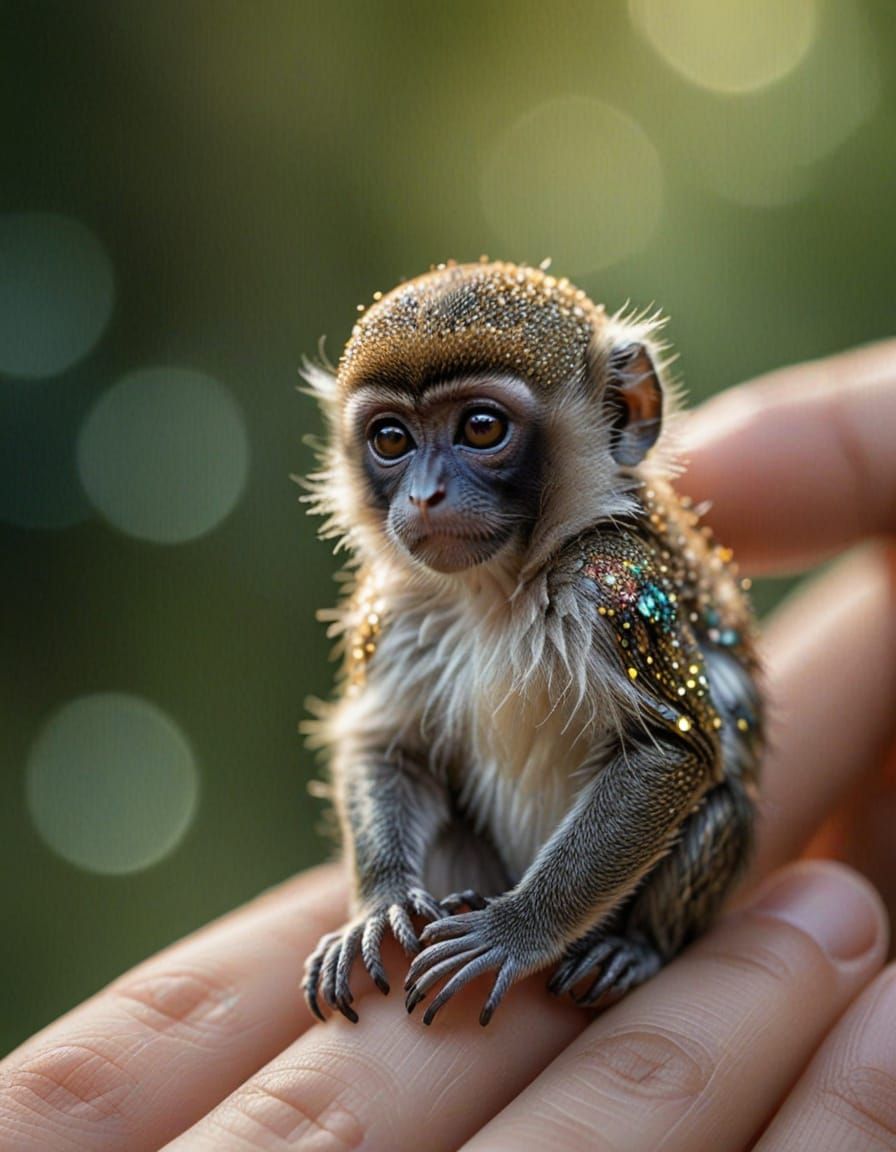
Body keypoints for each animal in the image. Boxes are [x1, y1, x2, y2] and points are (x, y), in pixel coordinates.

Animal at [301, 259, 762, 1028]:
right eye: (391, 438)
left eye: (481, 427)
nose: (424, 495)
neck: (499, 592)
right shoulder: (387, 610)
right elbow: (389, 744)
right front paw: (381, 902)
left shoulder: (616, 583)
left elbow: (672, 751)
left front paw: (512, 929)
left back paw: (635, 947)